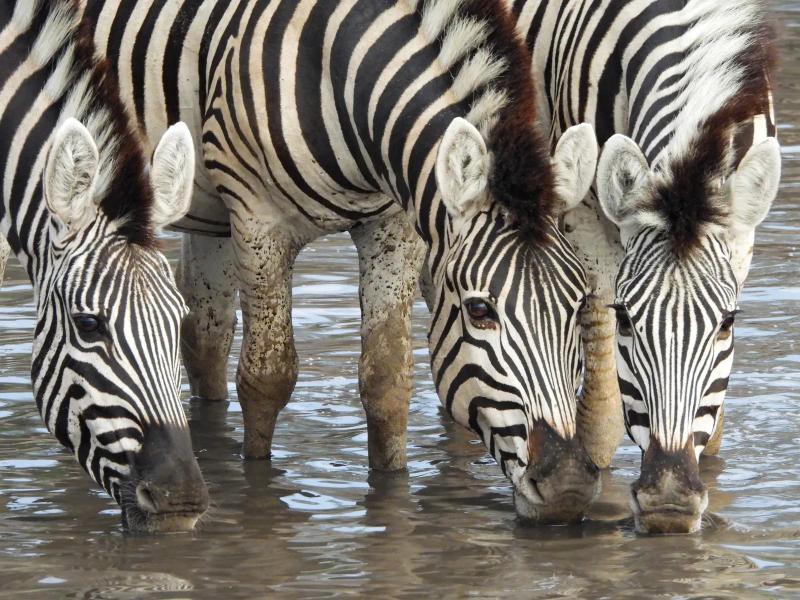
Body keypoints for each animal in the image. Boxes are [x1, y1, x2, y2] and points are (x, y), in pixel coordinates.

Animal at [85, 0, 603, 523]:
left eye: (579, 305)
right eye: (480, 311)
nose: (568, 487)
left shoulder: (394, 226)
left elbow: (387, 379)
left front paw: (391, 493)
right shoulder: (258, 220)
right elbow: (267, 377)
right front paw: (257, 491)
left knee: (203, 335)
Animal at [515, 0, 780, 532]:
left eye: (727, 323)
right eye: (626, 319)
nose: (669, 502)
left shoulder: (741, 239)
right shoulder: (584, 216)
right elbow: (601, 411)